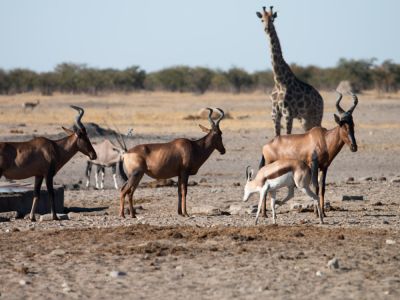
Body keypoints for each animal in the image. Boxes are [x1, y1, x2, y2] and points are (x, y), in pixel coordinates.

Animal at [256, 5, 324, 136]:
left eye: (272, 19)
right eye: (262, 20)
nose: (267, 29)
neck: (279, 81)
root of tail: (321, 99)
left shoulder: (288, 114)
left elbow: (288, 136)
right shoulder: (275, 114)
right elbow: (277, 136)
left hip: (316, 116)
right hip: (304, 120)